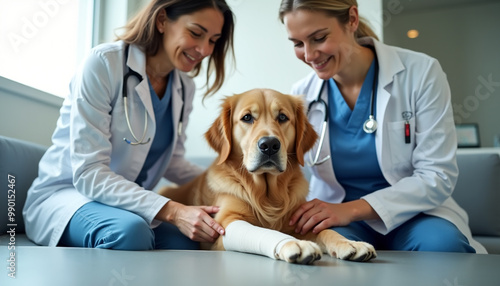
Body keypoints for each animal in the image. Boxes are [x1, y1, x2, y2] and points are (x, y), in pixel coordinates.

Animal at [159, 89, 376, 264]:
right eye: (247, 117)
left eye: (282, 117)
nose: (270, 145)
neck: (267, 194)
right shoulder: (226, 224)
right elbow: (265, 232)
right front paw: (293, 243)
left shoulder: (300, 220)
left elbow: (325, 230)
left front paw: (350, 243)